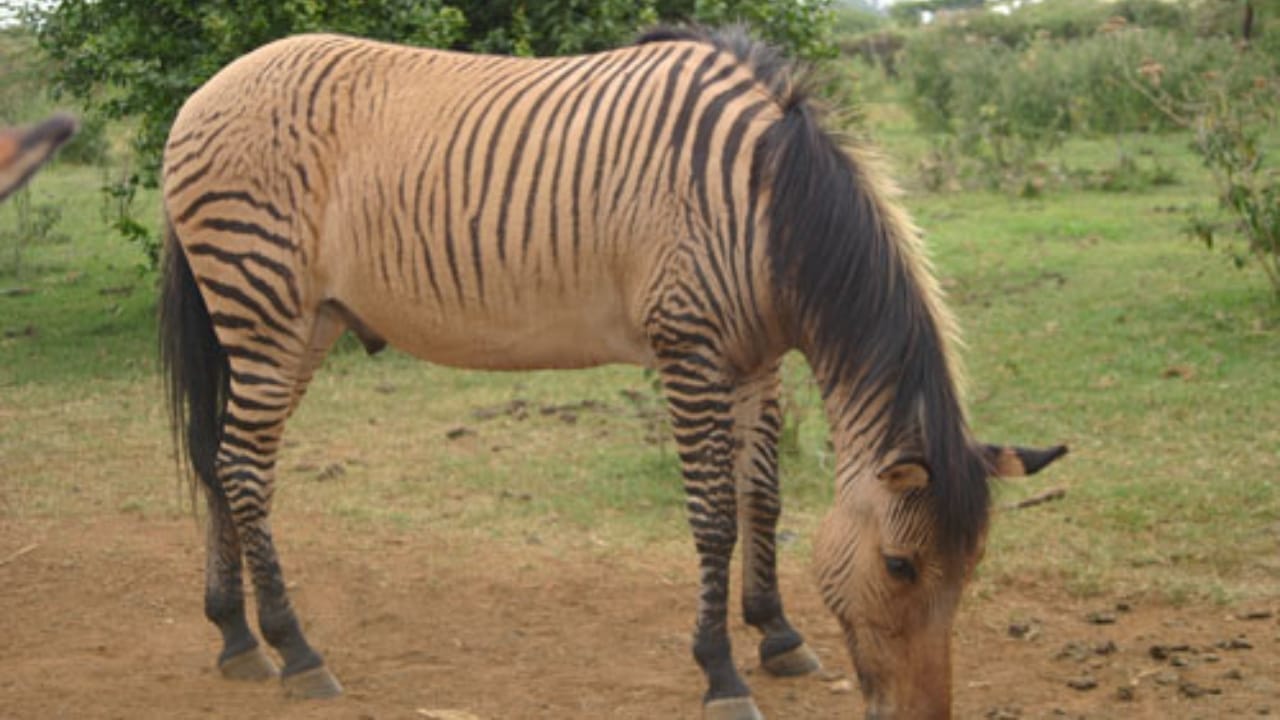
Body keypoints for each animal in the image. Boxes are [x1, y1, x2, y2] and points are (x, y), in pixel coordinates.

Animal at [159, 26, 1065, 719]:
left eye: (972, 570)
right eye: (900, 567)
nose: (926, 714)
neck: (769, 212)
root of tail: (208, 89)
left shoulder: (756, 362)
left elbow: (763, 500)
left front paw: (777, 635)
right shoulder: (690, 351)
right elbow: (714, 518)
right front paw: (721, 673)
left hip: (298, 323)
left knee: (222, 462)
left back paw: (234, 635)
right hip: (263, 307)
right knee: (244, 469)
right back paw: (295, 649)